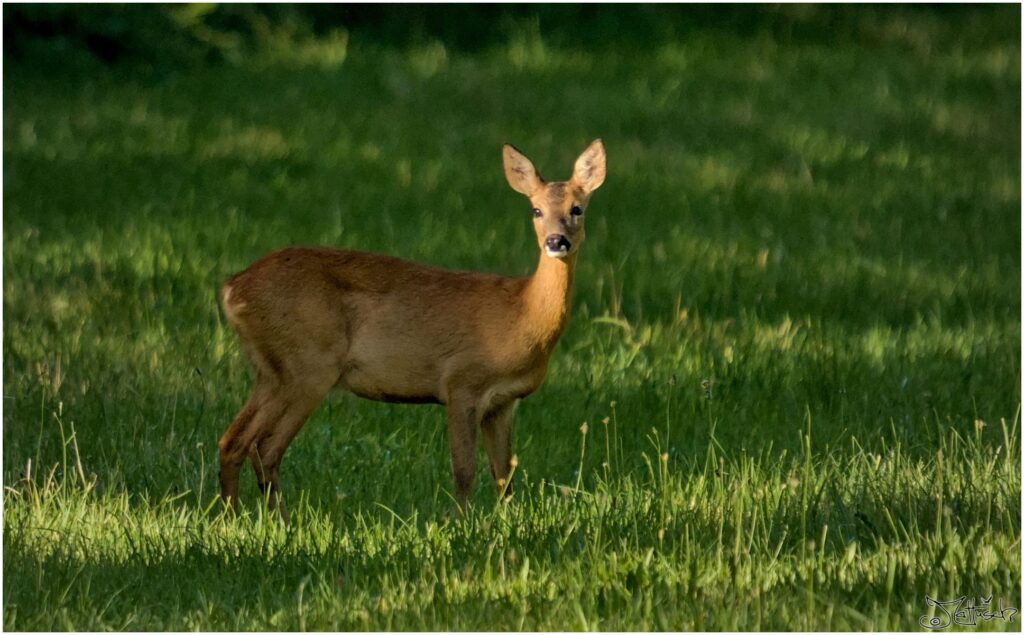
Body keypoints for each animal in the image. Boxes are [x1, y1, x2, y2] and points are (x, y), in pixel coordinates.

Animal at [212, 137, 602, 516]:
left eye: (577, 209)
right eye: (536, 210)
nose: (556, 241)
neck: (523, 314)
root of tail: (233, 288)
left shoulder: (503, 402)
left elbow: (504, 477)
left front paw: (505, 523)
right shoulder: (461, 382)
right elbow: (464, 471)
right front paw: (461, 524)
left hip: (271, 370)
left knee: (233, 440)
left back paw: (237, 517)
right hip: (307, 364)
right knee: (265, 447)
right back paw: (273, 519)